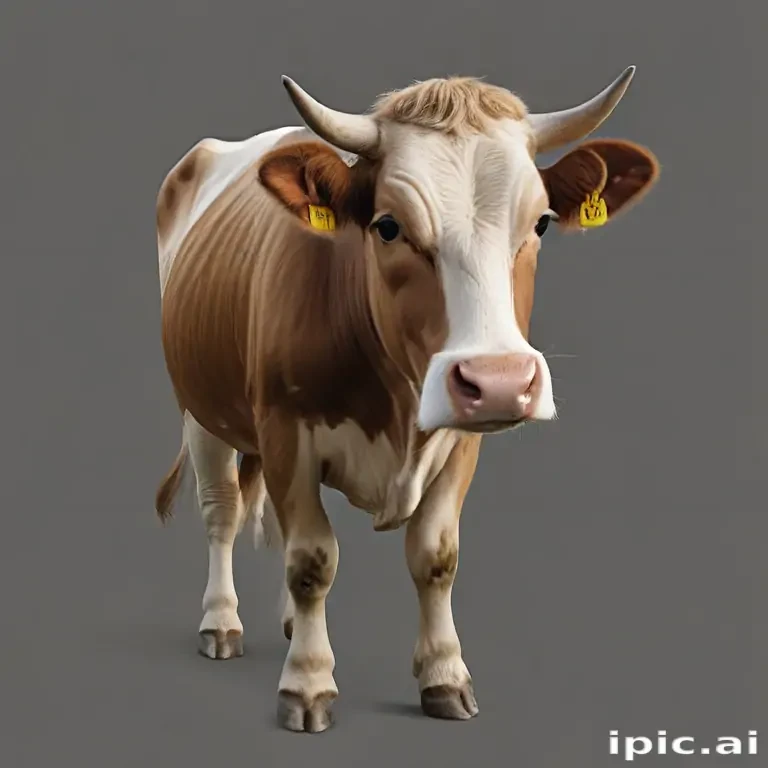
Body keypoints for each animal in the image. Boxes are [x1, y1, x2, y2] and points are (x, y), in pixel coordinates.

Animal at [154, 66, 659, 733]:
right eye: (388, 225)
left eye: (542, 222)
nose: (500, 379)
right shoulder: (287, 432)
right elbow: (312, 560)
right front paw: (308, 683)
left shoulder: (461, 441)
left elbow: (434, 557)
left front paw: (445, 676)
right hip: (199, 410)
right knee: (222, 511)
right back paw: (221, 622)